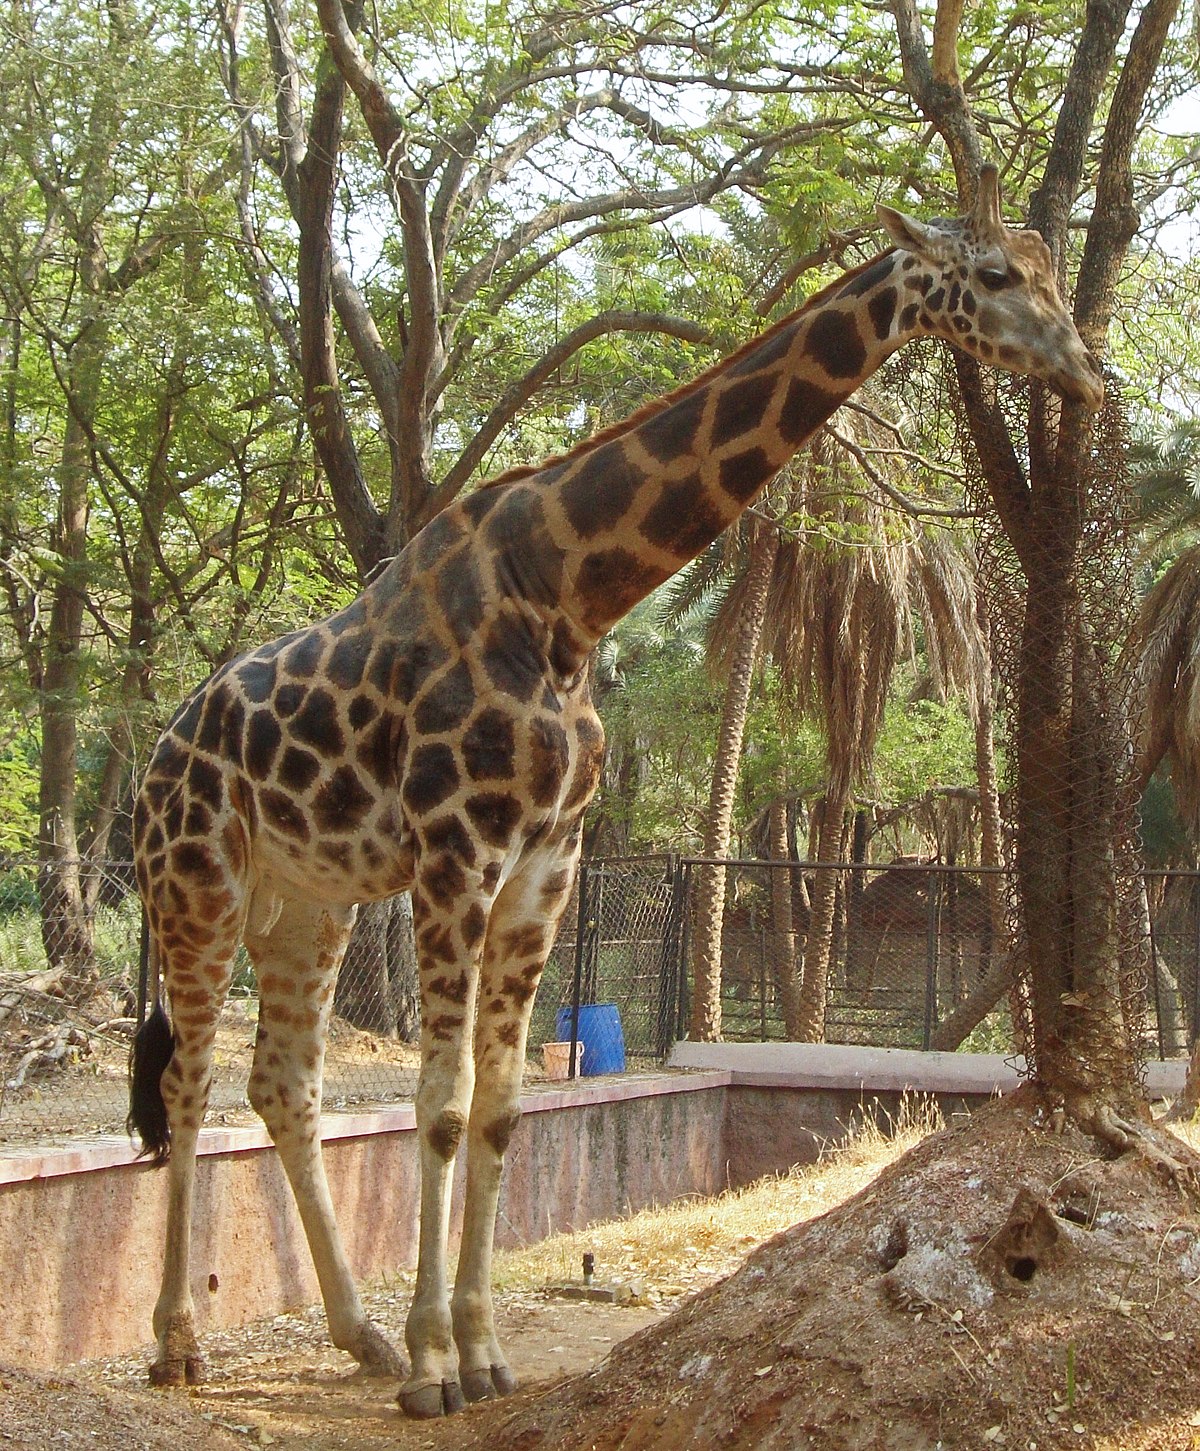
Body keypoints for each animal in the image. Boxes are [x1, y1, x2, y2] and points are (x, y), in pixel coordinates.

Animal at [129, 166, 1096, 1416]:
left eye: (1050, 268)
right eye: (995, 274)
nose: (1086, 372)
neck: (568, 590)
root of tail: (158, 751)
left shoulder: (547, 860)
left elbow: (498, 1109)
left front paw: (475, 1351)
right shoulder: (457, 851)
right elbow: (441, 1106)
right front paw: (436, 1366)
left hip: (309, 903)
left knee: (281, 1082)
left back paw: (358, 1335)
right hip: (196, 880)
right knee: (188, 1079)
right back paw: (179, 1343)